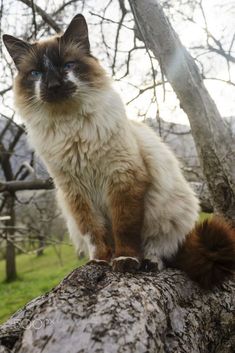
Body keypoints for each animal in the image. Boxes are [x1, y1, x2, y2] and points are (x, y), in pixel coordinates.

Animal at [2, 14, 234, 288]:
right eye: (36, 73)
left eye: (68, 65)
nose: (54, 85)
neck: (70, 126)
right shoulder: (76, 192)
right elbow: (96, 233)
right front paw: (101, 262)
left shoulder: (123, 179)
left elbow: (125, 228)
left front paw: (125, 260)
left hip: (170, 212)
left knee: (161, 249)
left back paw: (148, 262)